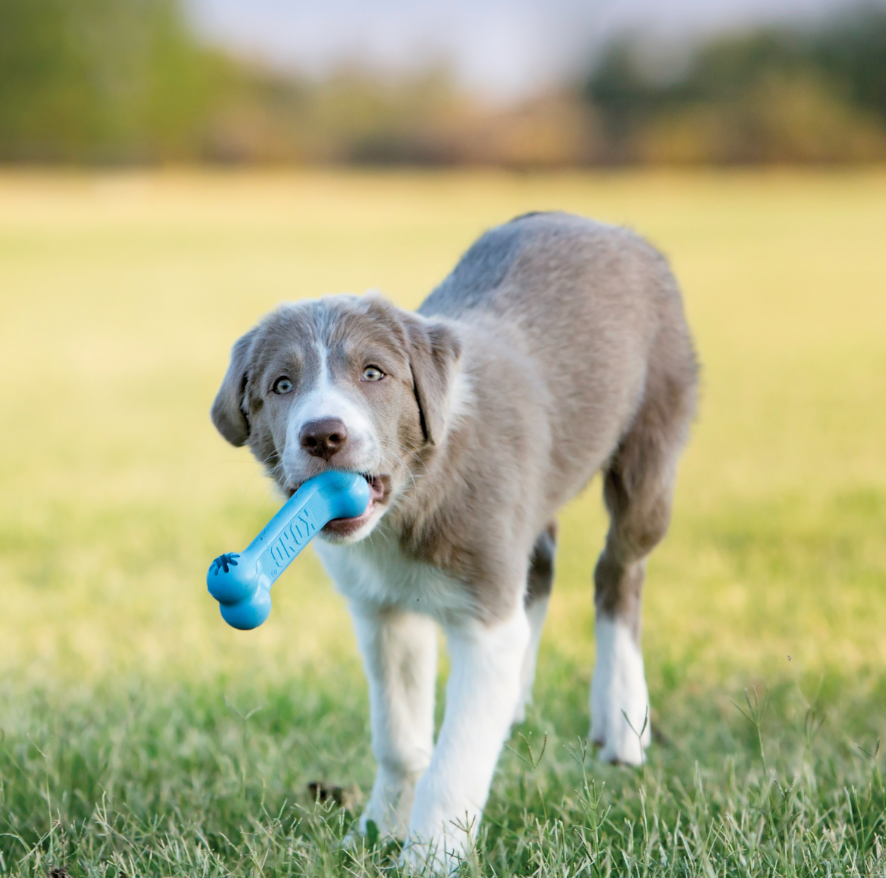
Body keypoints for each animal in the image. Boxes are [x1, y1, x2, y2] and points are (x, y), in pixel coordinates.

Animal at [210, 210, 700, 868]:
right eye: (282, 385)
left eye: (374, 373)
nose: (323, 436)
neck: (409, 500)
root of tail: (606, 225)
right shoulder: (384, 612)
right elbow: (399, 739)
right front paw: (377, 829)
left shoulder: (482, 616)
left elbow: (456, 756)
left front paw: (429, 856)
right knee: (540, 565)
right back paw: (517, 696)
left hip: (651, 444)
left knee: (618, 568)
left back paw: (621, 716)